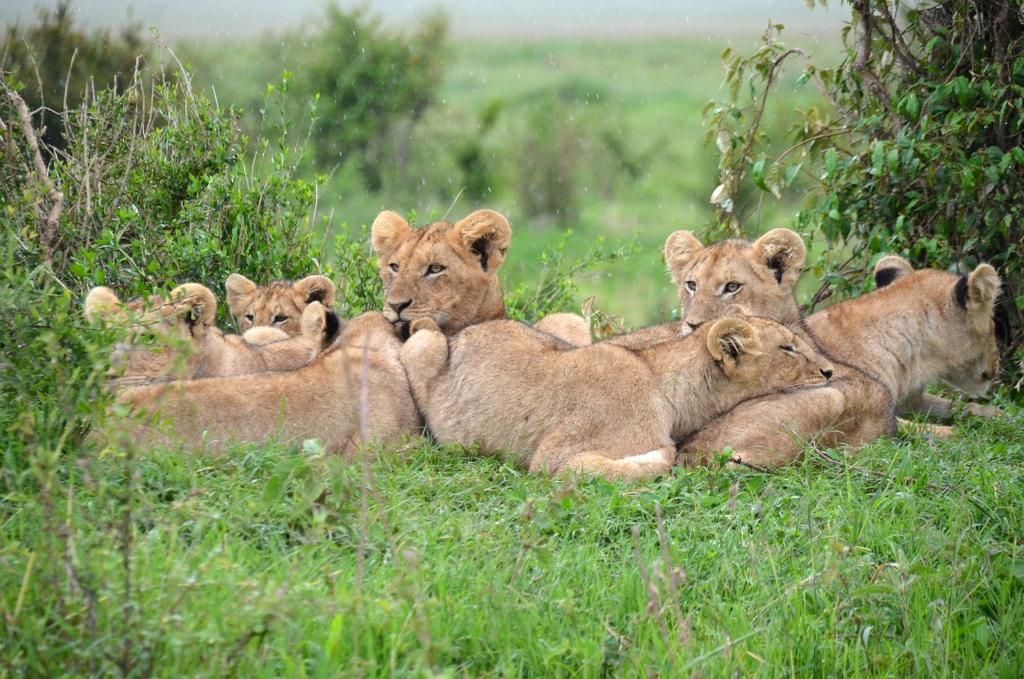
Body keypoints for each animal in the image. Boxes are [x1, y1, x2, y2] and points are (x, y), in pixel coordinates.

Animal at [395, 313, 835, 483]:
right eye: (788, 348)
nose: (830, 371)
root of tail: (461, 333)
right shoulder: (551, 459)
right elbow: (652, 462)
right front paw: (661, 456)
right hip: (422, 345)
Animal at [675, 241, 1003, 471]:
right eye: (993, 325)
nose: (997, 367)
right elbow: (928, 426)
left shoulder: (913, 399)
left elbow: (965, 408)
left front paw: (999, 417)